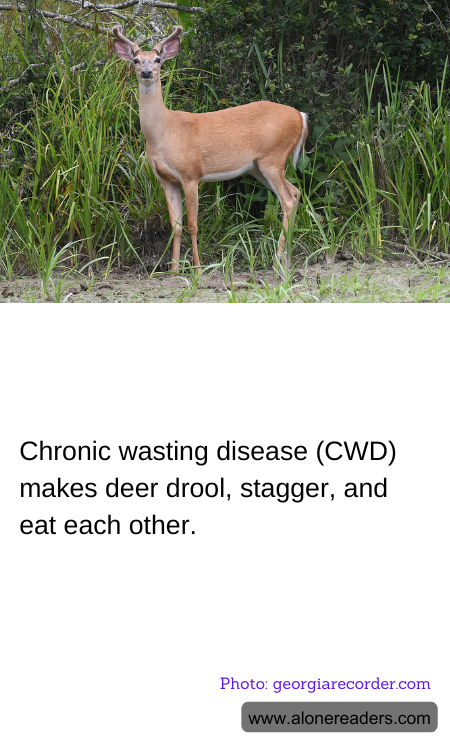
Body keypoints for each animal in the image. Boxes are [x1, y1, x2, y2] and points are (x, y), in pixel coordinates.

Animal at [112, 24, 308, 273]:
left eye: (158, 60)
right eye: (136, 60)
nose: (147, 73)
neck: (164, 132)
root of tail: (300, 117)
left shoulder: (190, 174)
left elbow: (192, 224)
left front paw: (197, 267)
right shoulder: (166, 179)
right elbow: (175, 226)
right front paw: (174, 269)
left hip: (273, 158)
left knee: (288, 199)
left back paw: (277, 259)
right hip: (257, 167)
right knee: (295, 192)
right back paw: (288, 259)